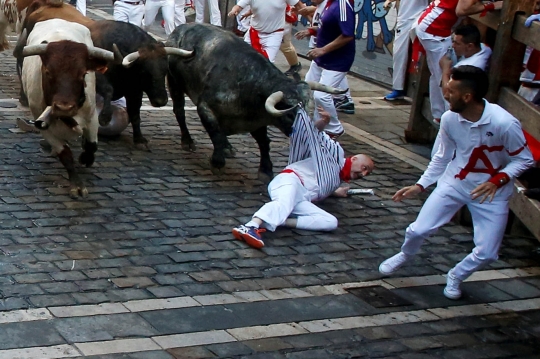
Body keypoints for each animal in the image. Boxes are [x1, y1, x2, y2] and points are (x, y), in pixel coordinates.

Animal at [166, 23, 342, 181]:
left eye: (309, 111)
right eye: (290, 114)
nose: (311, 135)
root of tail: (179, 30)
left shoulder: (257, 119)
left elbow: (263, 142)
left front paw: (265, 170)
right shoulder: (205, 107)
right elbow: (216, 133)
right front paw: (217, 162)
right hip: (175, 83)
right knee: (179, 111)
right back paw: (187, 141)